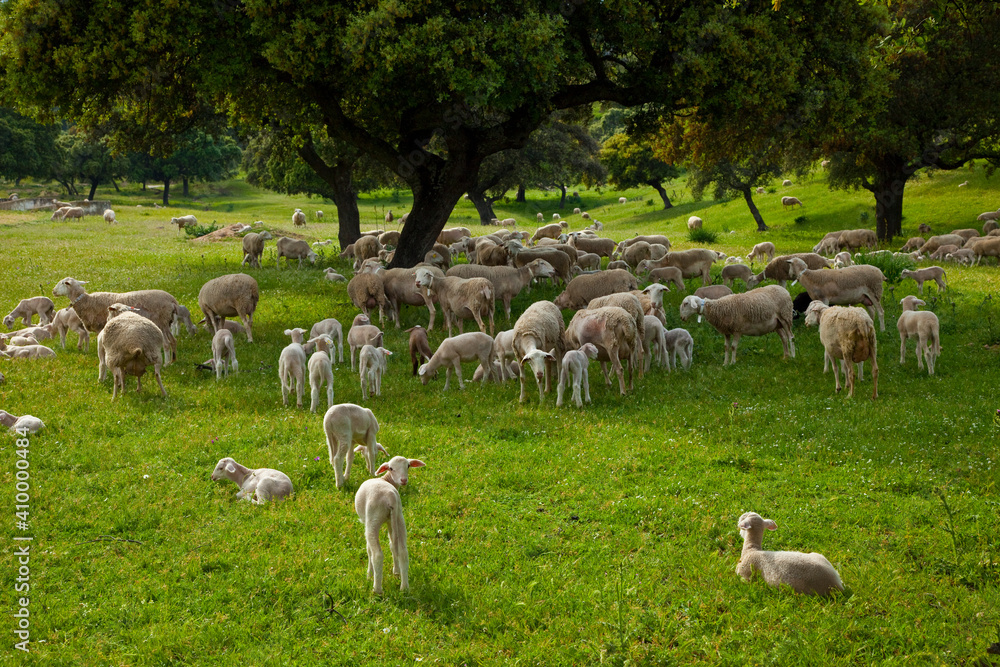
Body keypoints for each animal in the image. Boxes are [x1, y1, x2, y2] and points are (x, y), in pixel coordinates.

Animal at [354, 455, 426, 594]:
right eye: (391, 468)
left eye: (408, 466)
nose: (404, 480)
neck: (385, 479)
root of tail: (390, 497)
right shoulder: (389, 521)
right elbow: (393, 545)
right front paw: (396, 572)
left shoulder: (367, 522)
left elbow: (368, 549)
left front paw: (369, 574)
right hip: (399, 518)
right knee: (403, 551)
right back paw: (404, 587)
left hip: (373, 520)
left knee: (377, 554)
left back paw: (377, 589)